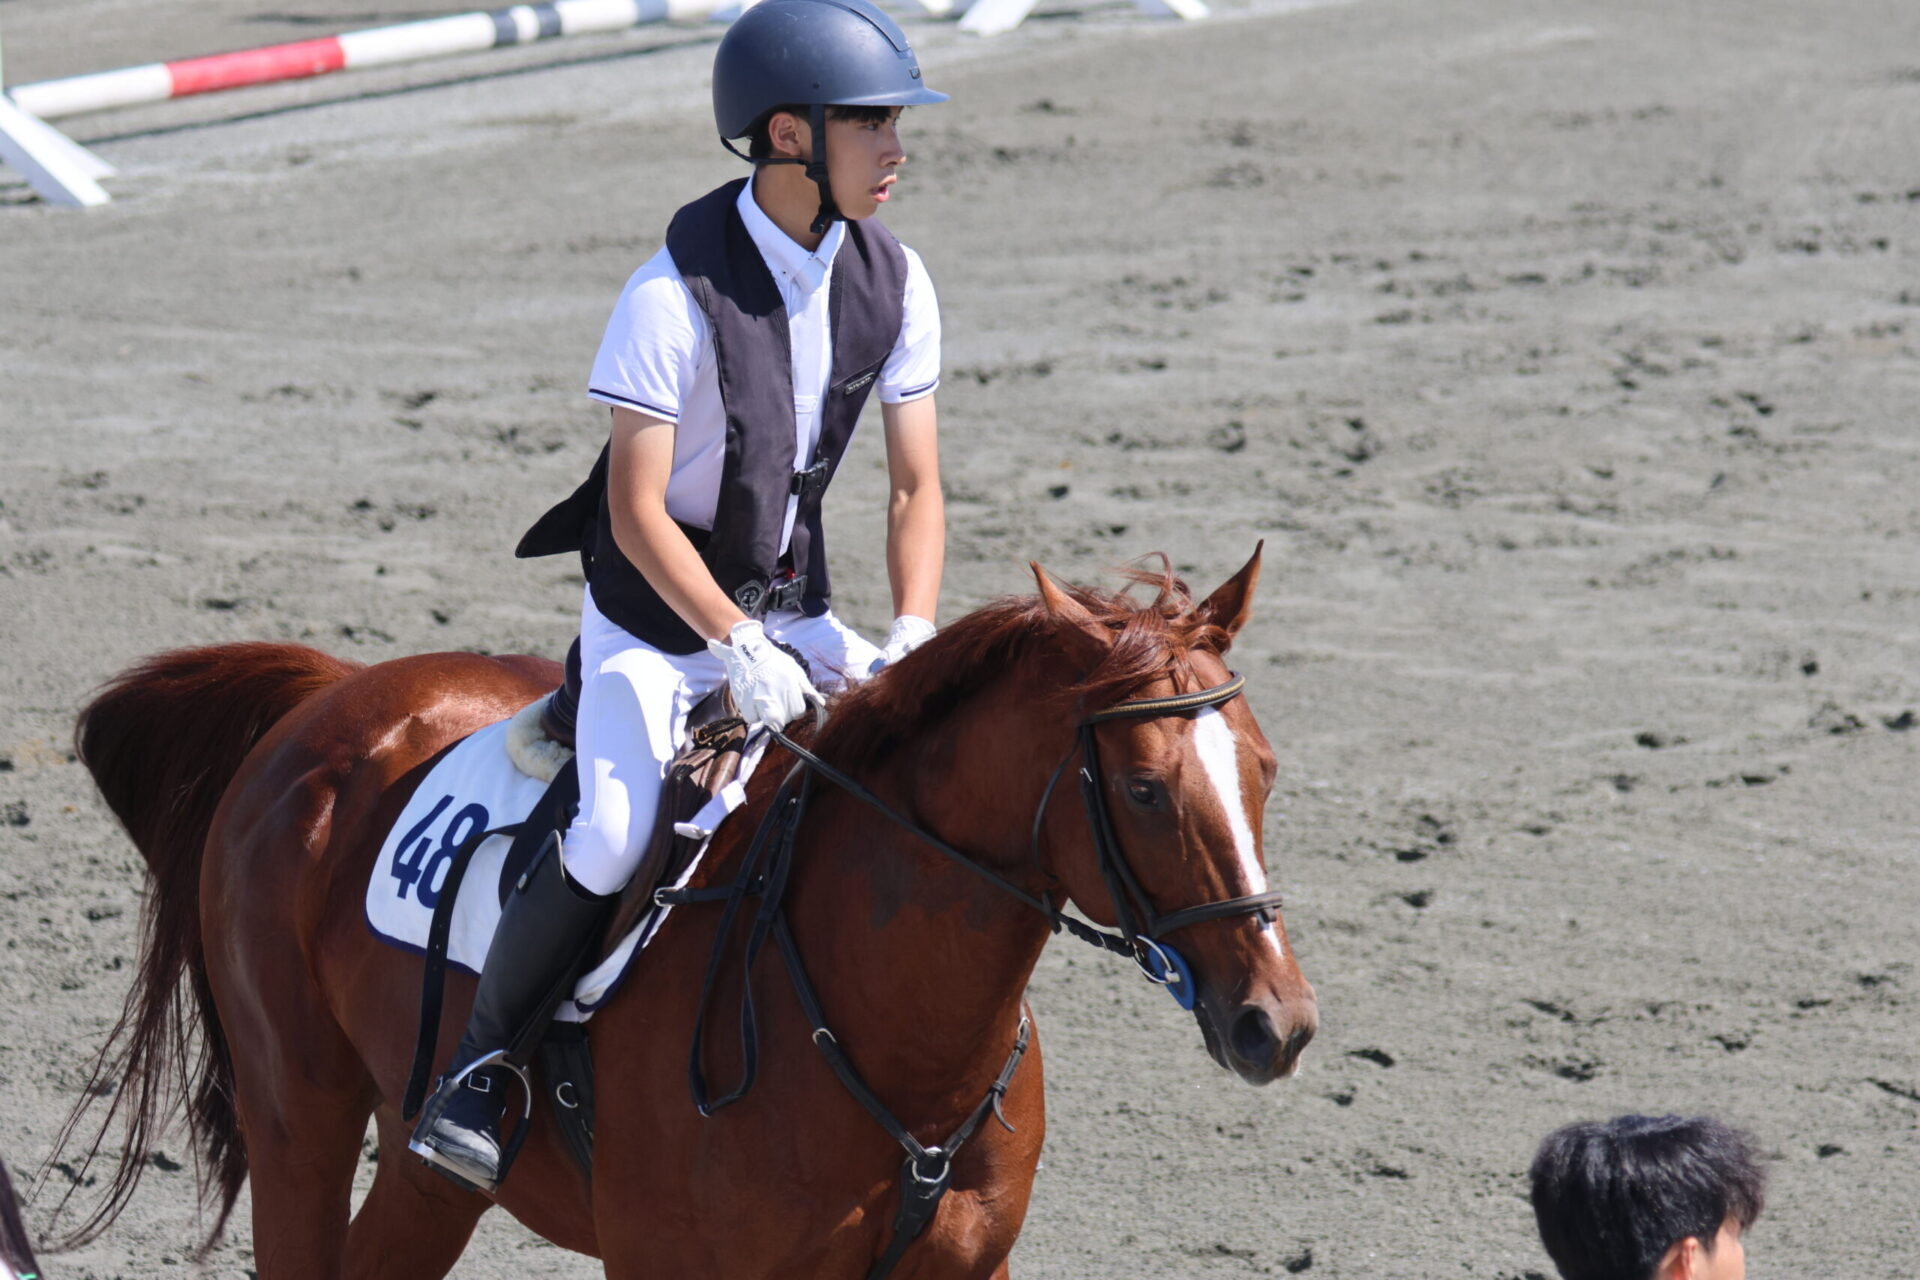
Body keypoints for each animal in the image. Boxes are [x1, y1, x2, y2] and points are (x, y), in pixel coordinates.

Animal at [48, 548, 1315, 1278]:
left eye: (1264, 765)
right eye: (1144, 787)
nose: (1279, 1022)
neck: (893, 1041)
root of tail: (329, 696)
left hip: (422, 1165)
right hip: (300, 1112)